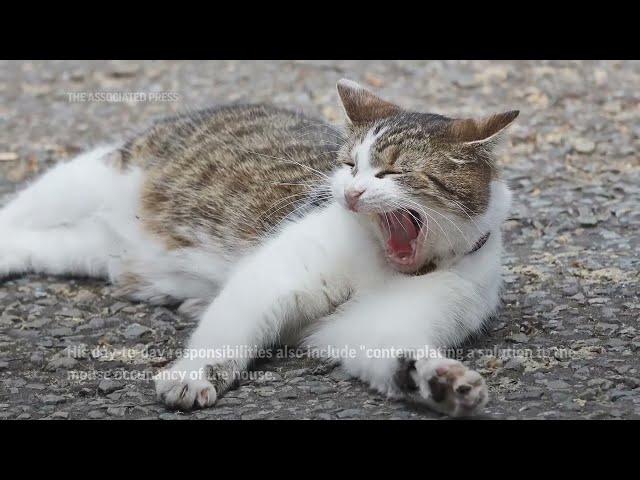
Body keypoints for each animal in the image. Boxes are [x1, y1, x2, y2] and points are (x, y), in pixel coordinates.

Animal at [0, 79, 516, 416]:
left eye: (392, 172)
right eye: (349, 165)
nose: (351, 194)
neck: (385, 263)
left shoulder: (382, 321)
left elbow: (388, 347)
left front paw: (440, 382)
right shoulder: (278, 272)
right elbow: (231, 324)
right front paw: (195, 374)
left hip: (84, 249)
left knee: (35, 245)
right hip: (88, 179)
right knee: (24, 211)